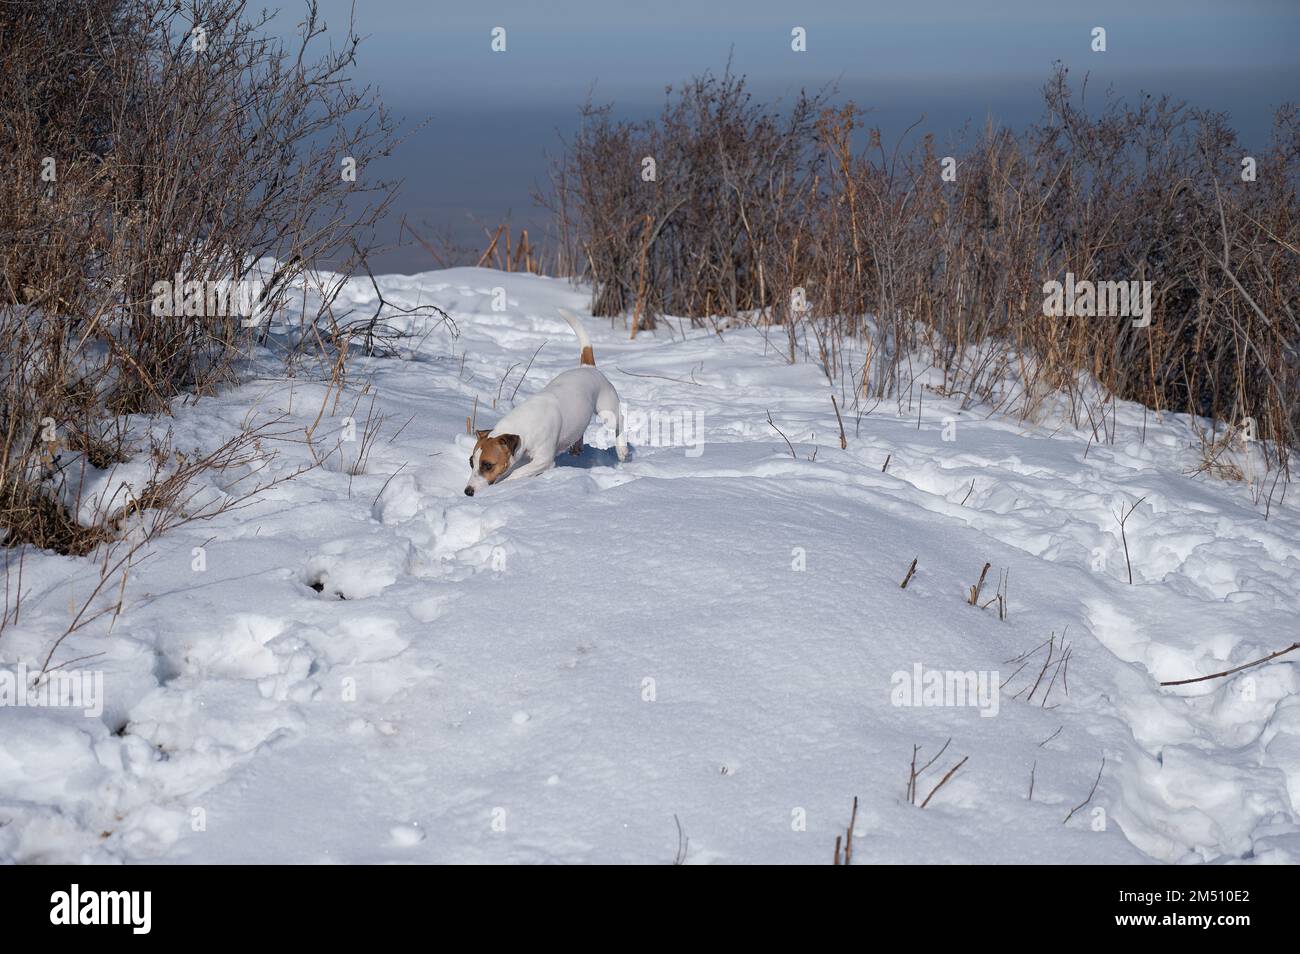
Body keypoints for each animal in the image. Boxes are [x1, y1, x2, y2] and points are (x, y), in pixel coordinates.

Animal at [465, 310, 626, 496]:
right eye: (471, 462)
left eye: (487, 465)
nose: (468, 491)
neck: (523, 426)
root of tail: (588, 368)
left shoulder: (543, 460)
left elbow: (517, 473)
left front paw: (504, 485)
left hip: (608, 410)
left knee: (619, 423)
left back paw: (622, 450)